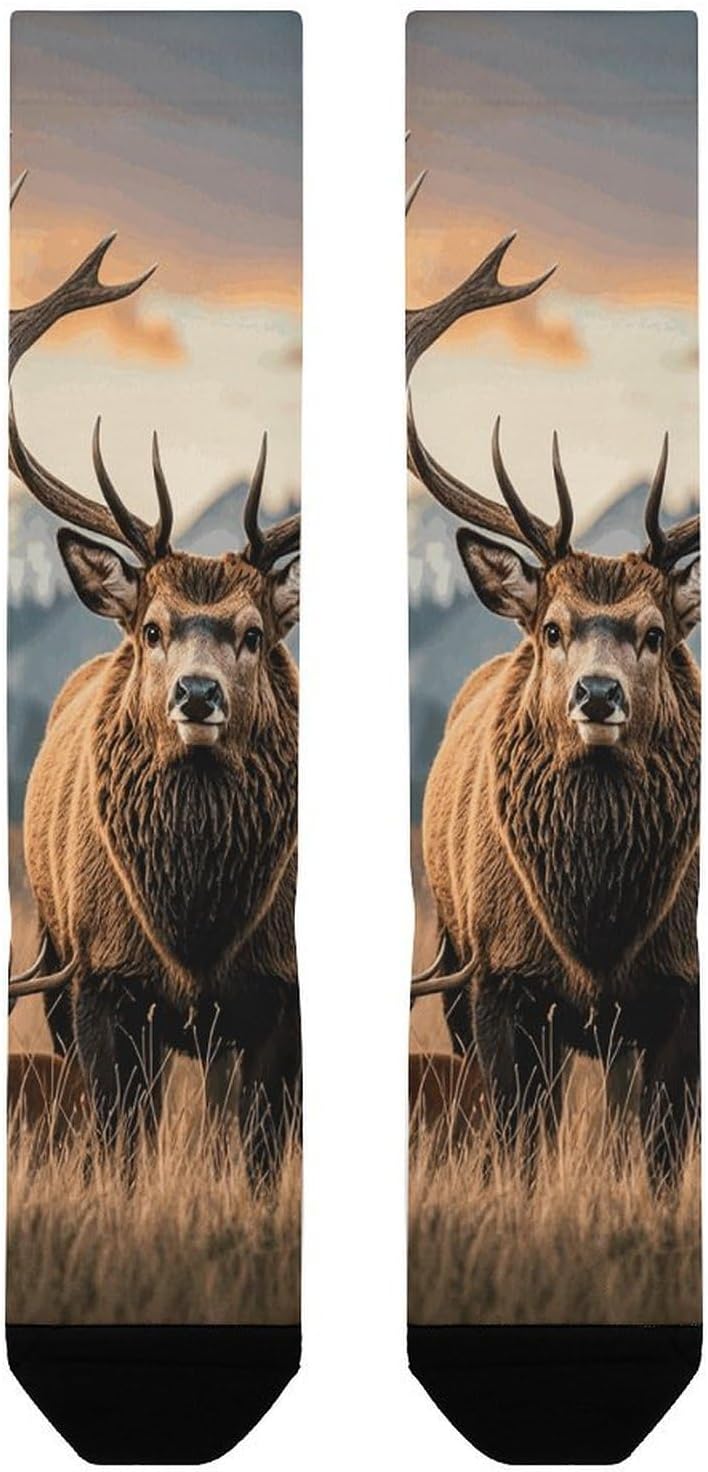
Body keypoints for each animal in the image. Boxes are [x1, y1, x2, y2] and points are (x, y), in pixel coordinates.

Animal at [9, 176, 301, 1184]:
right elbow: (118, 1144)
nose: (198, 695)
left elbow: (256, 1153)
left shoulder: (279, 996)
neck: (193, 936)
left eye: (254, 633)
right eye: (153, 627)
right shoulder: (100, 984)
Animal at [406, 172, 700, 1187]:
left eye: (654, 633)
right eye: (554, 626)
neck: (594, 935)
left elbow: (659, 1155)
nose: (597, 695)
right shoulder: (499, 984)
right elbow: (518, 1145)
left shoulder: (676, 995)